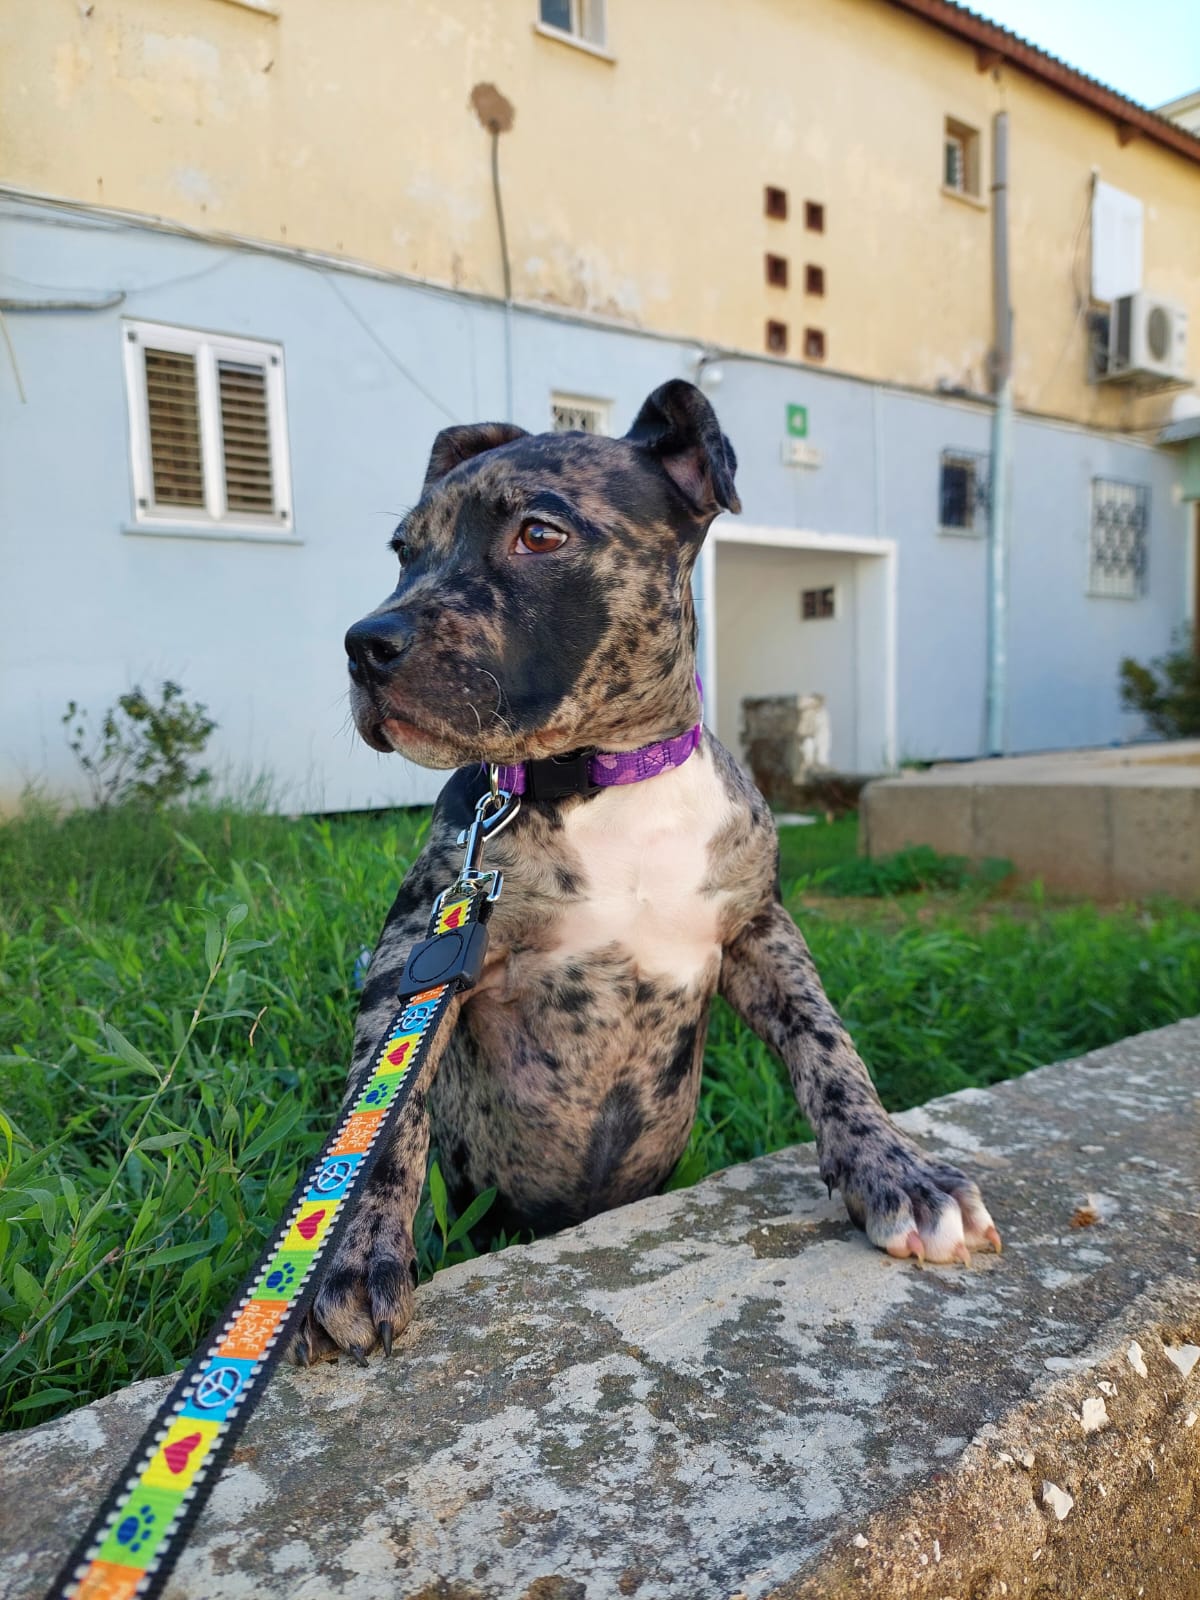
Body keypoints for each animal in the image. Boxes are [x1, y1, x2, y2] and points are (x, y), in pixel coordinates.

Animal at [294, 377, 1004, 1363]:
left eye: (540, 534)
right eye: (405, 552)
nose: (366, 642)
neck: (607, 778)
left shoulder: (760, 932)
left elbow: (832, 1050)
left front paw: (898, 1172)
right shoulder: (417, 951)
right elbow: (383, 1113)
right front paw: (352, 1258)